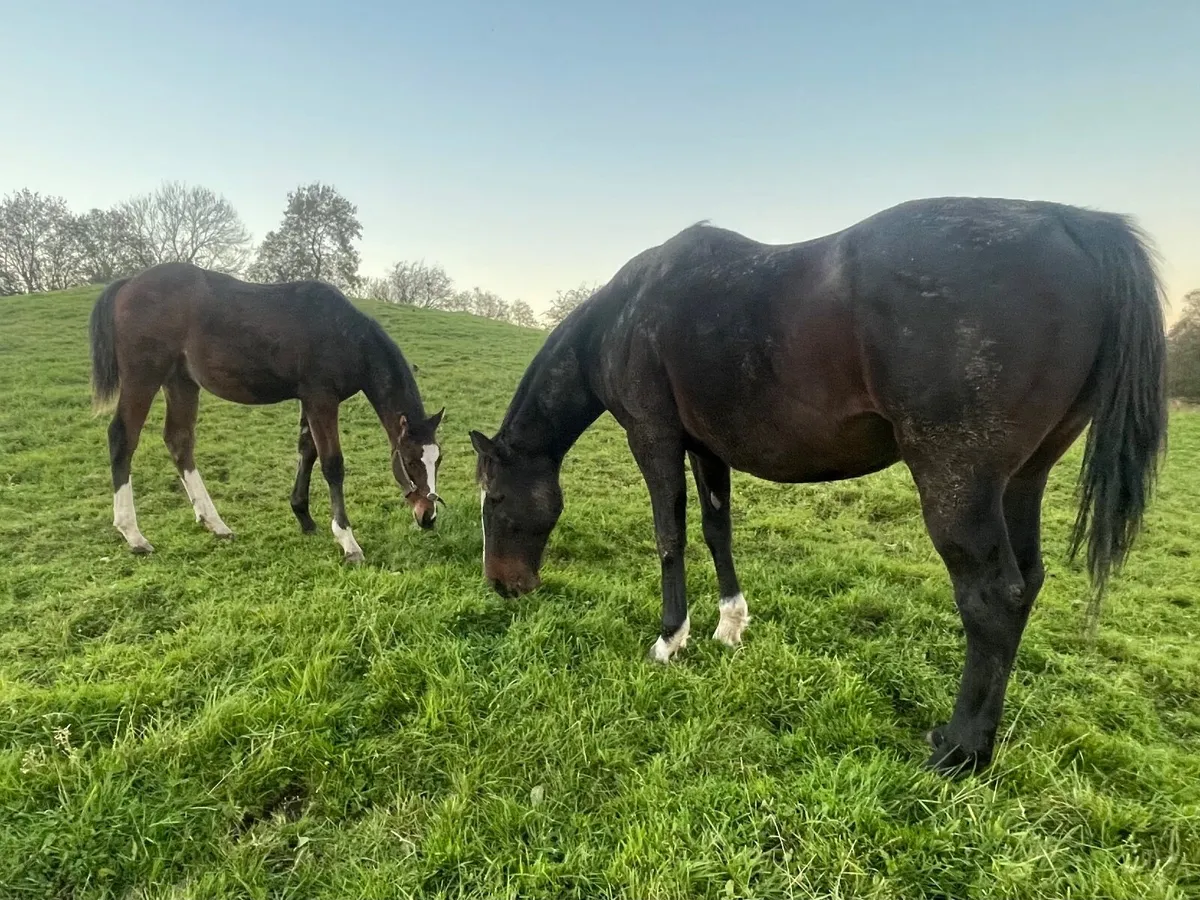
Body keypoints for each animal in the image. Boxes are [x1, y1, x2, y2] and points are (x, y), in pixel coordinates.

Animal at [88, 262, 445, 563]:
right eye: (410, 461)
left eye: (437, 459)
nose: (428, 516)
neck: (343, 333)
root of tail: (127, 283)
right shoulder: (321, 400)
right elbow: (332, 465)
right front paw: (347, 541)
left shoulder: (309, 400)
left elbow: (307, 452)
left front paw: (303, 516)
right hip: (143, 377)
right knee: (122, 438)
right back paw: (134, 535)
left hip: (181, 382)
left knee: (179, 441)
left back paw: (215, 524)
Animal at [469, 196, 1168, 776]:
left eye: (495, 501)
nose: (503, 586)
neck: (625, 313)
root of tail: (1073, 224)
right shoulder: (707, 448)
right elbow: (717, 531)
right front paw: (730, 626)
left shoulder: (654, 438)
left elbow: (670, 536)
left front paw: (671, 639)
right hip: (1023, 481)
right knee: (1027, 583)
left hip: (960, 484)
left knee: (992, 596)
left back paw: (959, 752)